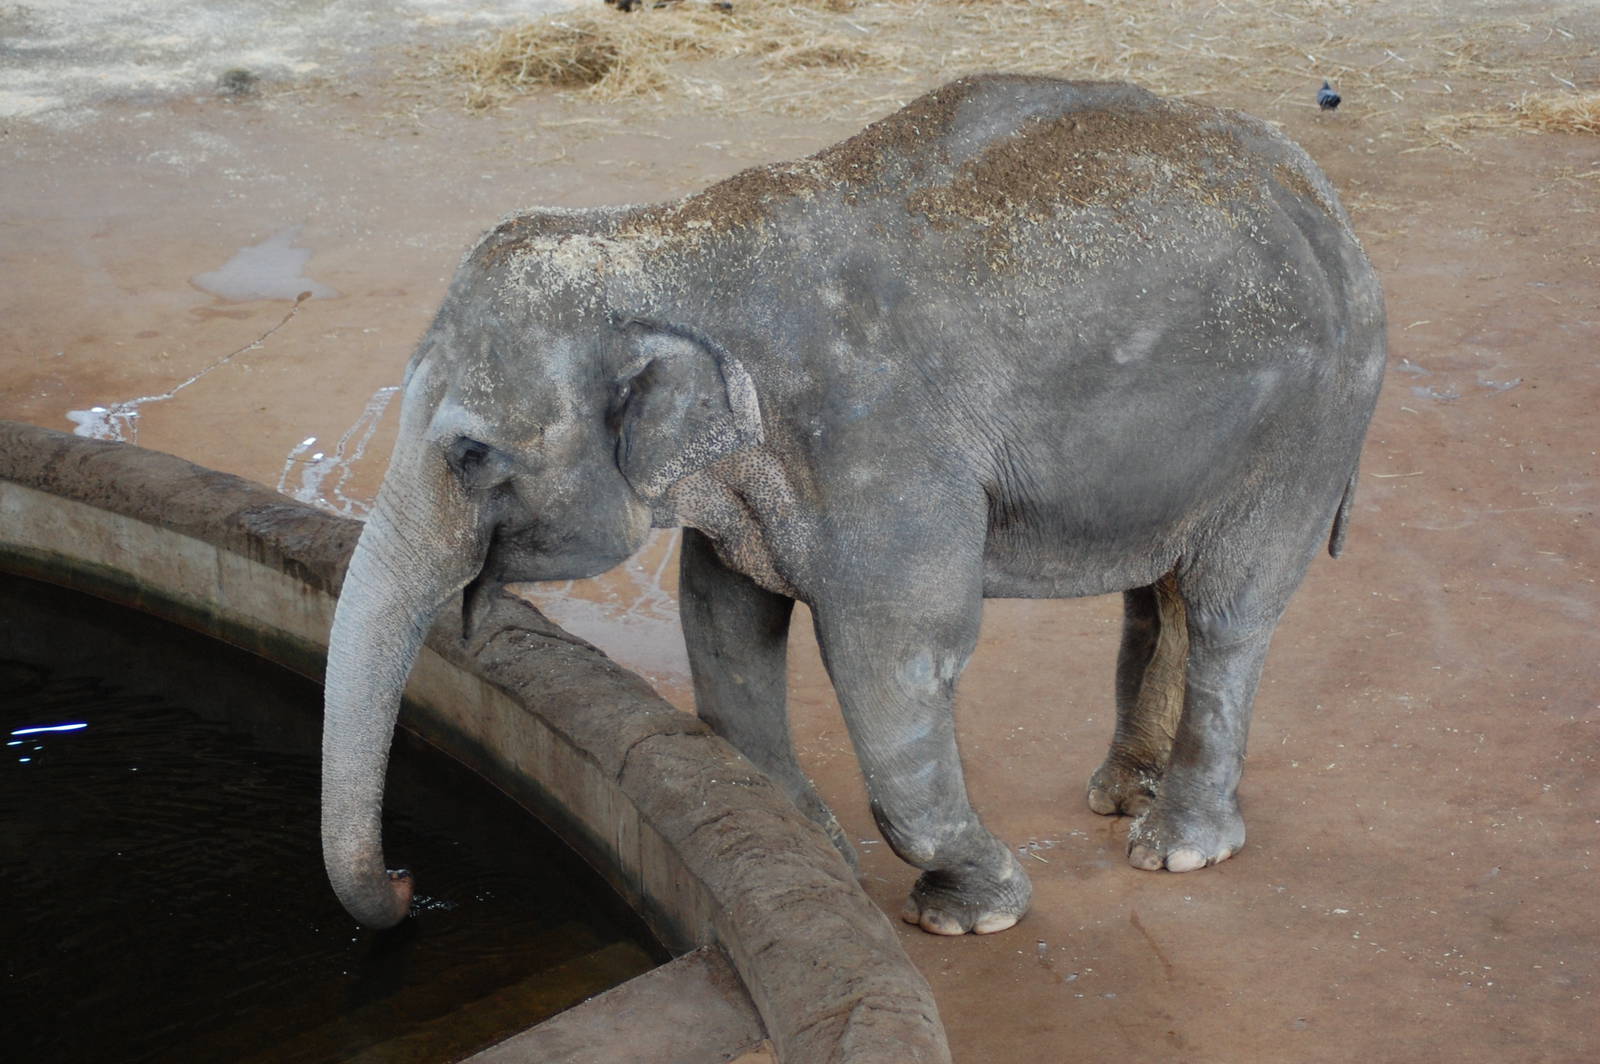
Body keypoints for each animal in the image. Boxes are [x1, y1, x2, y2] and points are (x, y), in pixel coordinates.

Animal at [321, 73, 1386, 937]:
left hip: (1309, 426)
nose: (411, 884)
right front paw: (810, 858)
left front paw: (968, 916)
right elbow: (723, 631)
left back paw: (1178, 846)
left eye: (470, 454)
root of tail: (1324, 200)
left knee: (1227, 611)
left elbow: (897, 662)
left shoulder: (880, 452)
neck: (669, 240)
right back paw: (1122, 795)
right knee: (1158, 594)